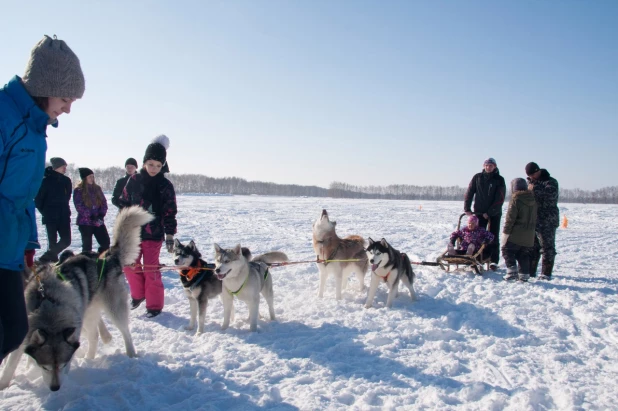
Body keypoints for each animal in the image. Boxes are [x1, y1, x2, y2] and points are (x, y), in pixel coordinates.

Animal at [0, 208, 153, 392]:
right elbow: (10, 363)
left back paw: (130, 354)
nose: (55, 388)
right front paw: (4, 383)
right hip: (88, 313)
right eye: (45, 367)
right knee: (94, 335)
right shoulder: (25, 335)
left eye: (63, 365)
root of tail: (108, 257)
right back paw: (89, 358)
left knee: (125, 333)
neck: (49, 302)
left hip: (113, 309)